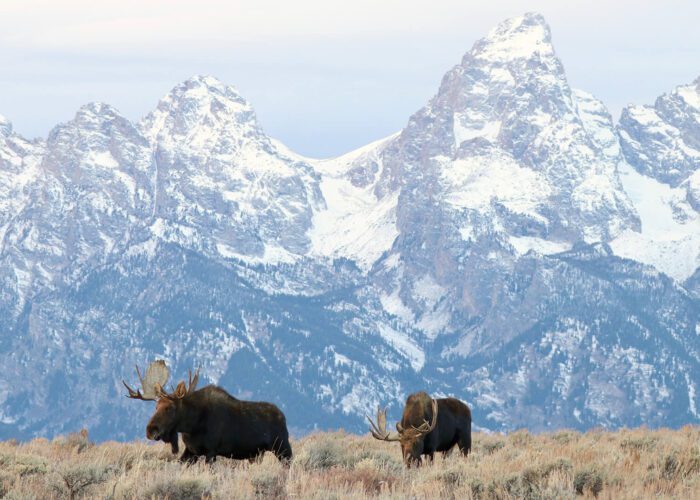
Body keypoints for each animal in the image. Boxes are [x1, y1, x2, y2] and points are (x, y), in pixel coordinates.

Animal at [122, 361, 292, 464]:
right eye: (156, 407)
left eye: (169, 408)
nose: (151, 430)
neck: (191, 425)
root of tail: (283, 416)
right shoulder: (191, 451)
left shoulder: (211, 451)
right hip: (258, 454)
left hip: (282, 447)